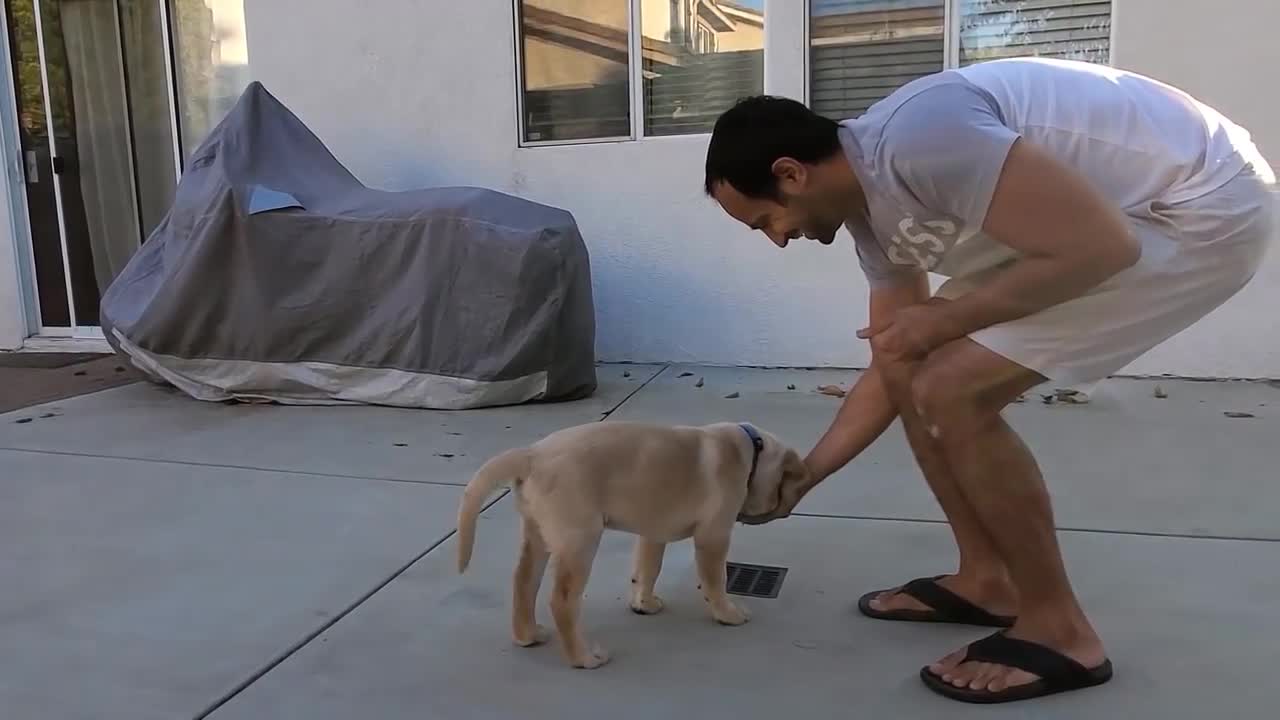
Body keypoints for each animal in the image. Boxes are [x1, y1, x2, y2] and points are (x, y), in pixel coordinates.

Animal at [455, 420, 803, 666]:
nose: (781, 511)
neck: (749, 449)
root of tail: (531, 454)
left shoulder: (653, 533)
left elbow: (647, 569)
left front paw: (643, 604)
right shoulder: (713, 536)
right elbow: (716, 580)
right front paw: (728, 613)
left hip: (537, 534)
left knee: (524, 582)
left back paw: (527, 635)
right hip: (581, 540)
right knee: (562, 601)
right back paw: (584, 658)